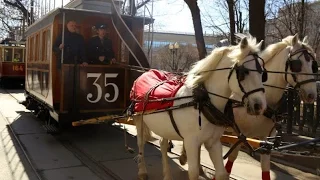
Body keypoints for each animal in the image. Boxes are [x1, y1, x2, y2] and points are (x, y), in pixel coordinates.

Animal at [130, 35, 268, 180]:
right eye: (244, 72)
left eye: (263, 73)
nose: (259, 106)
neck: (202, 101)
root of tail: (145, 74)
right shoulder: (191, 141)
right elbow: (193, 172)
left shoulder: (213, 142)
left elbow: (221, 173)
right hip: (139, 120)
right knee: (141, 144)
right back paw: (142, 171)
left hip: (164, 127)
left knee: (162, 144)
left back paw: (167, 175)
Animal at [178, 33, 318, 180]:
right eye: (297, 64)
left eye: (313, 65)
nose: (311, 95)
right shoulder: (241, 134)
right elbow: (231, 158)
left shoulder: (266, 139)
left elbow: (265, 168)